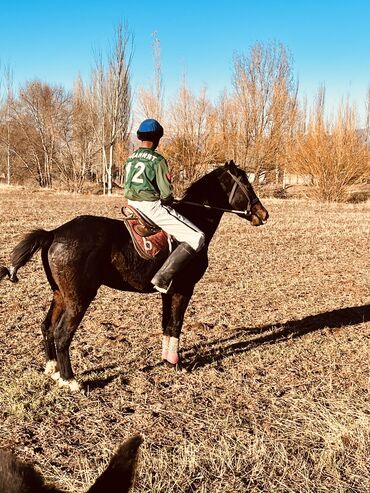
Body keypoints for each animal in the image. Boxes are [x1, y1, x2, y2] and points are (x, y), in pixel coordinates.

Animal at [0, 160, 268, 390]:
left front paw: (167, 361)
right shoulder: (184, 289)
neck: (196, 218)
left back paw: (52, 370)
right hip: (79, 298)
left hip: (60, 294)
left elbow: (166, 324)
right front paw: (176, 364)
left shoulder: (168, 291)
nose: (264, 214)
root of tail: (54, 233)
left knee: (47, 326)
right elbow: (176, 325)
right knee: (62, 333)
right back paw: (70, 380)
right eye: (246, 182)